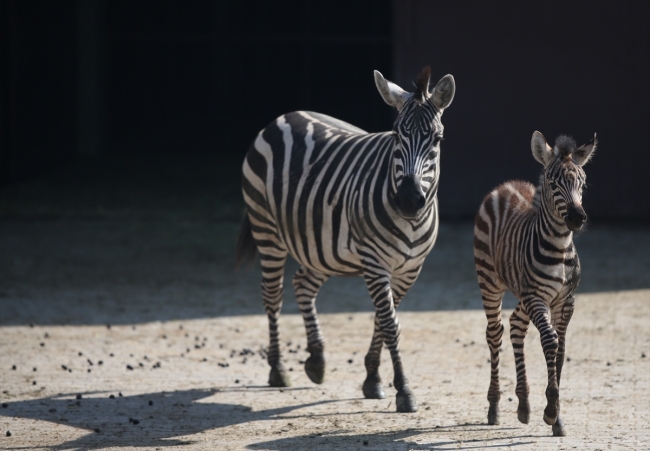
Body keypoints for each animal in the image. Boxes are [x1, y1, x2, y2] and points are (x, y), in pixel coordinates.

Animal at [235, 66, 454, 414]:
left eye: (437, 139)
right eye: (396, 136)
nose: (408, 200)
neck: (410, 221)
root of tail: (284, 117)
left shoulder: (410, 269)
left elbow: (382, 320)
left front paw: (373, 378)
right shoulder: (375, 263)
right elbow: (390, 323)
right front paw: (404, 390)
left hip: (320, 246)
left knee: (302, 284)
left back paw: (317, 360)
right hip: (266, 228)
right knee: (272, 295)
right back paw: (278, 369)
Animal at [474, 132, 596, 436]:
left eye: (583, 182)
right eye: (553, 184)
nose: (577, 218)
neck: (560, 248)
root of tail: (507, 185)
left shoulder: (566, 300)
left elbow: (561, 349)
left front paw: (557, 418)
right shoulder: (537, 297)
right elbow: (550, 341)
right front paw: (551, 411)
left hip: (523, 293)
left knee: (516, 324)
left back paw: (523, 404)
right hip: (490, 281)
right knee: (495, 333)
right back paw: (494, 407)